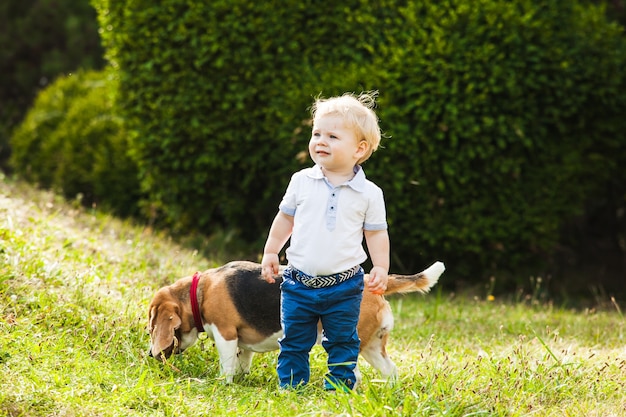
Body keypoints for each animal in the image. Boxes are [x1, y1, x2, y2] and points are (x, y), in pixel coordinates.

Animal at [148, 260, 442, 384]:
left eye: (151, 327)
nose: (151, 355)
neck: (201, 291)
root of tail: (371, 281)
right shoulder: (243, 344)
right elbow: (242, 364)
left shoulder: (226, 335)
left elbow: (227, 367)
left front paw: (222, 384)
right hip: (372, 346)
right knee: (390, 371)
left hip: (345, 345)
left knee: (353, 375)